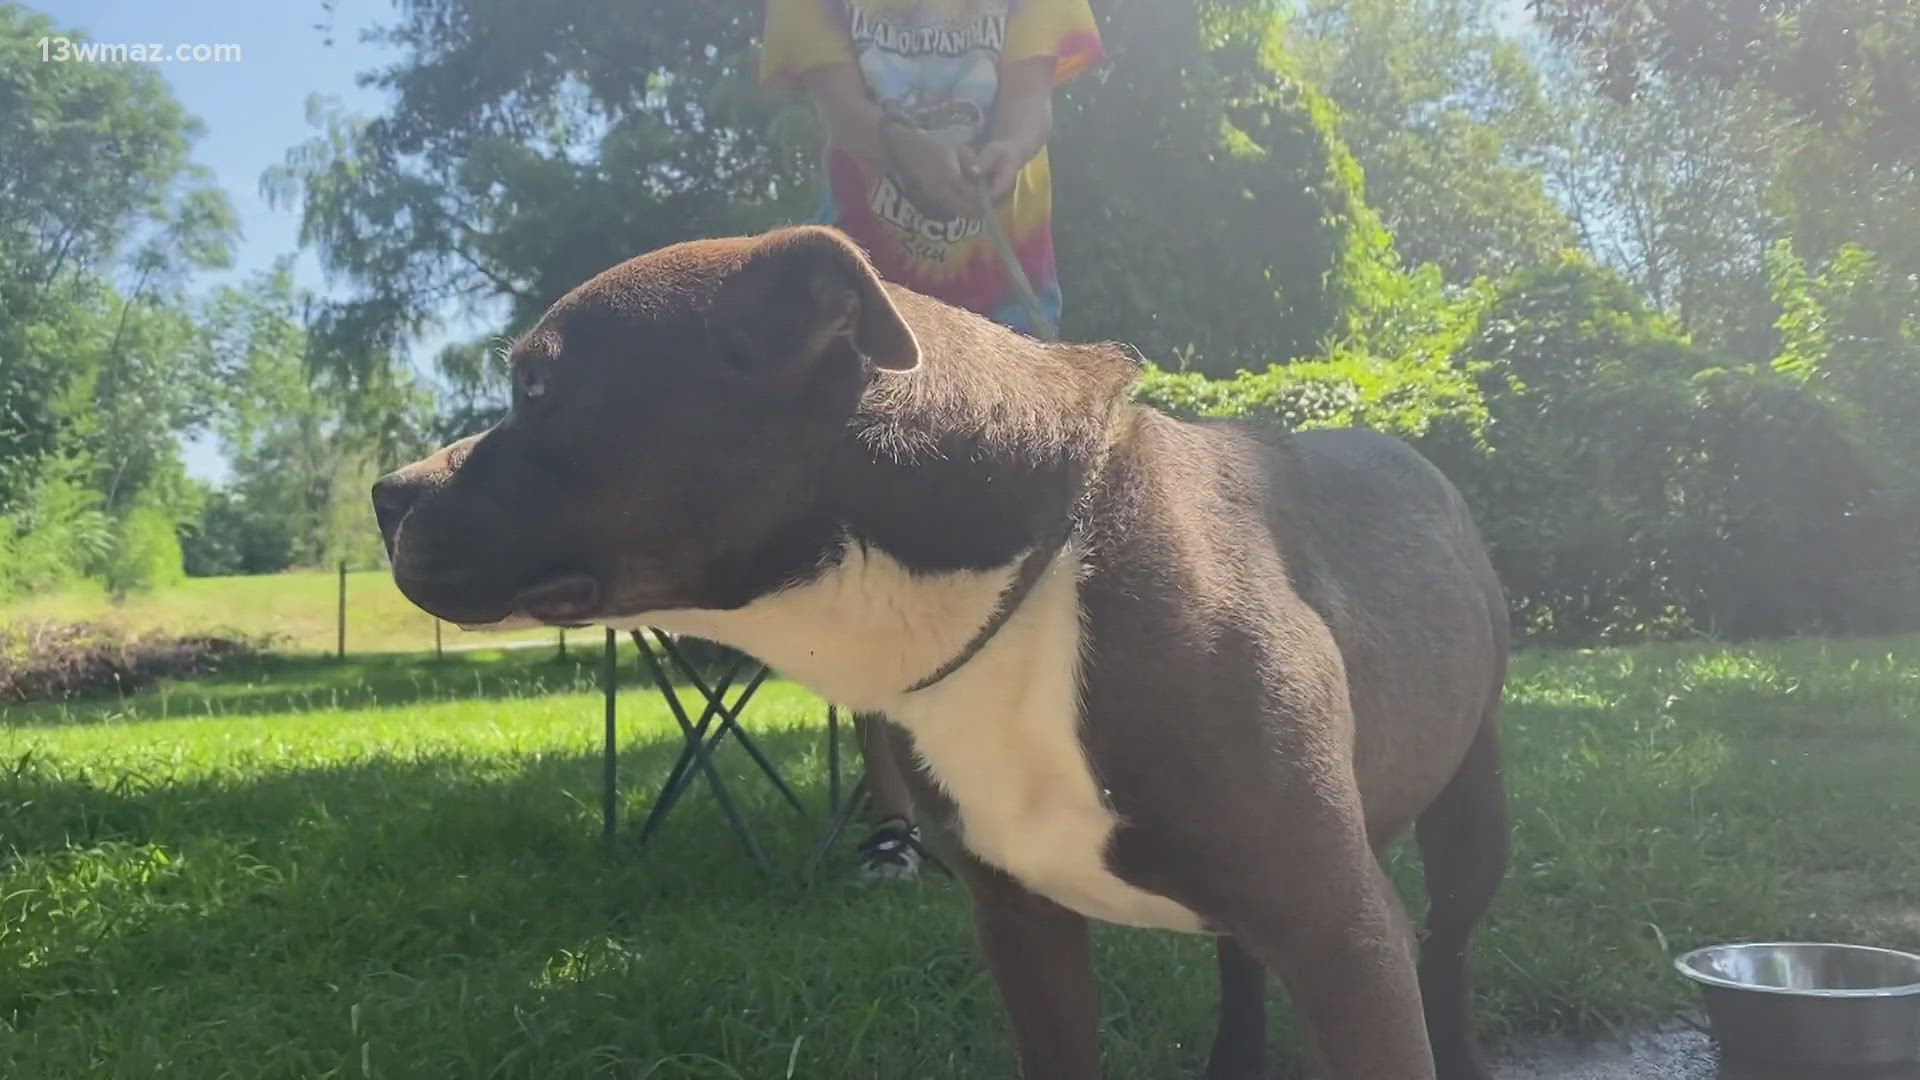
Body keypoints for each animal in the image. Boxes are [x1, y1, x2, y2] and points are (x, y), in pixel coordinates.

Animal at [370, 226, 1512, 1076]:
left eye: (535, 389)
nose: (385, 491)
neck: (1030, 563)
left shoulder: (1343, 938)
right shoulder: (1024, 931)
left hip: (1469, 817)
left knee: (1452, 945)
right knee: (1242, 965)